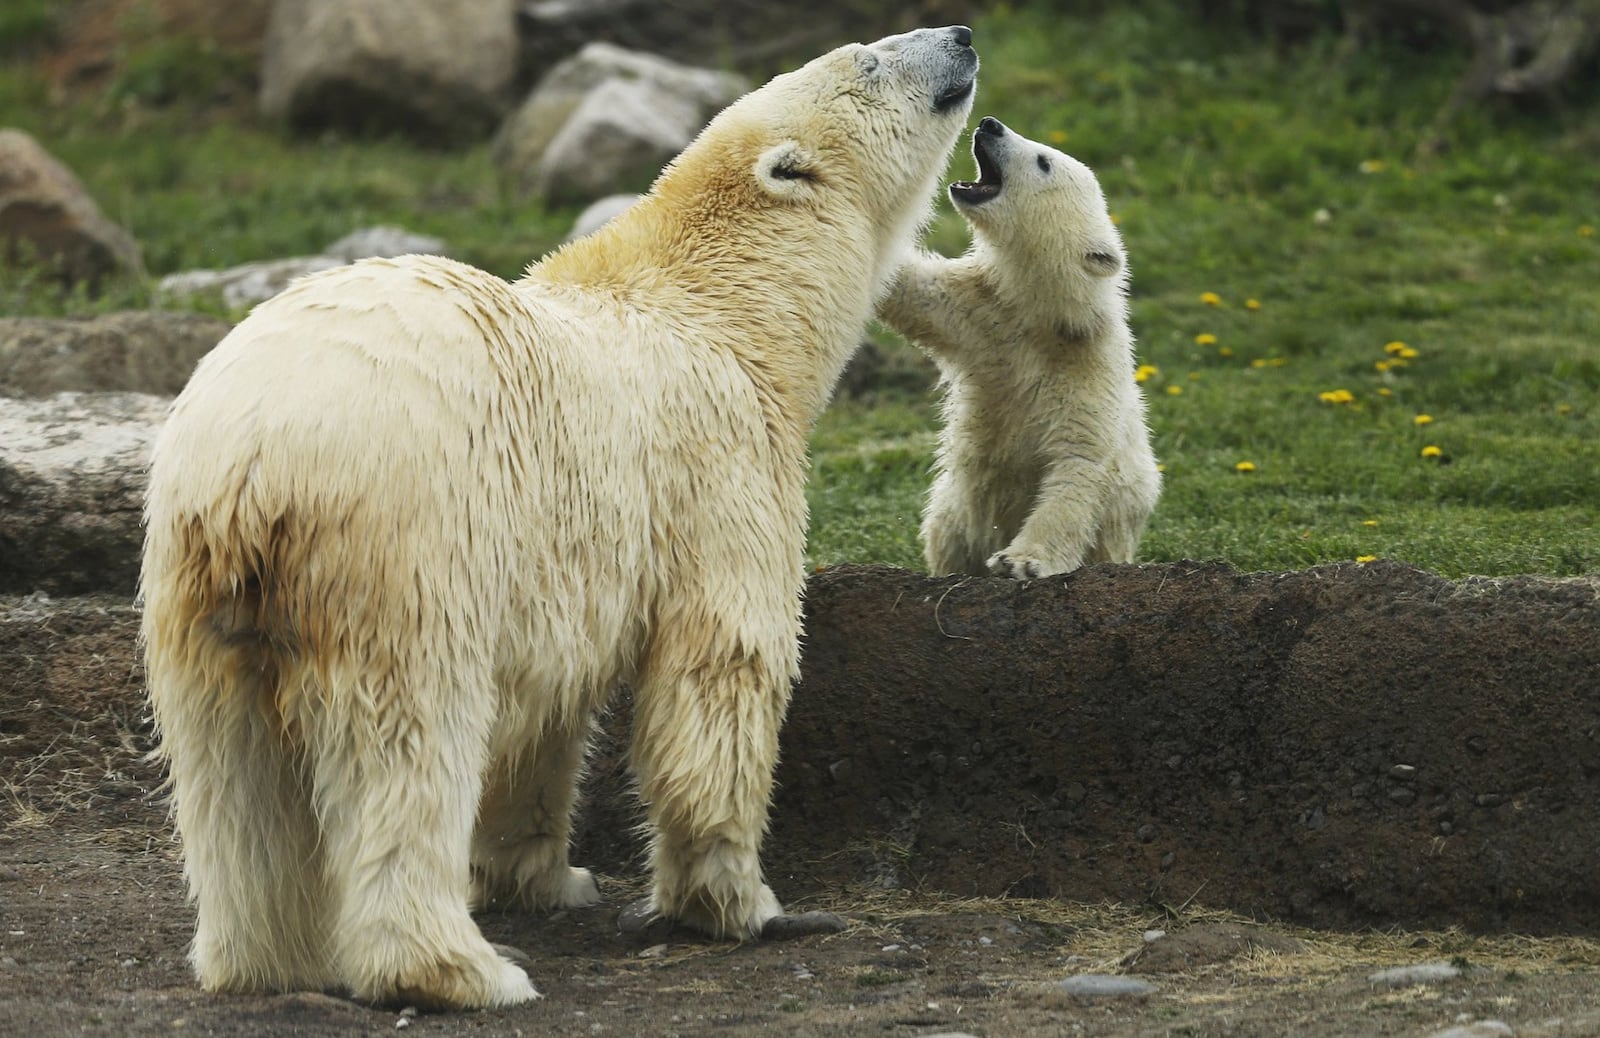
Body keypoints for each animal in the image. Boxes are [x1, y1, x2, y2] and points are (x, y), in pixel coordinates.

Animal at [144, 28, 979, 1010]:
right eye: (868, 59)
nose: (961, 37)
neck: (727, 315)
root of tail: (257, 452)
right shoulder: (719, 472)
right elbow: (720, 672)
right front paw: (749, 907)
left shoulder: (562, 564)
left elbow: (541, 716)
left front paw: (547, 878)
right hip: (406, 544)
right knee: (408, 742)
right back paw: (462, 970)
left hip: (193, 575)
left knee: (229, 765)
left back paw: (264, 957)